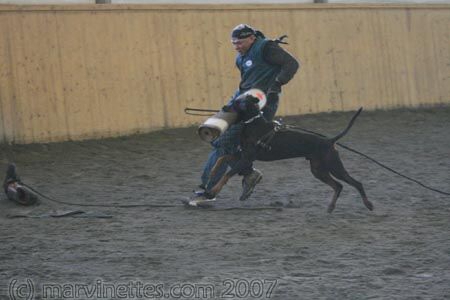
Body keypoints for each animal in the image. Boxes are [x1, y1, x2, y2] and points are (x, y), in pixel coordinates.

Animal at [210, 96, 372, 213]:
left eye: (237, 102)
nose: (223, 107)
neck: (253, 124)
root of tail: (330, 140)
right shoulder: (243, 156)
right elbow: (222, 158)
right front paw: (212, 172)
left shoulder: (247, 158)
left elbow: (227, 174)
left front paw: (213, 190)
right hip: (318, 170)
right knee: (338, 186)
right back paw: (331, 207)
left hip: (334, 166)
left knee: (355, 183)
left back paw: (368, 204)